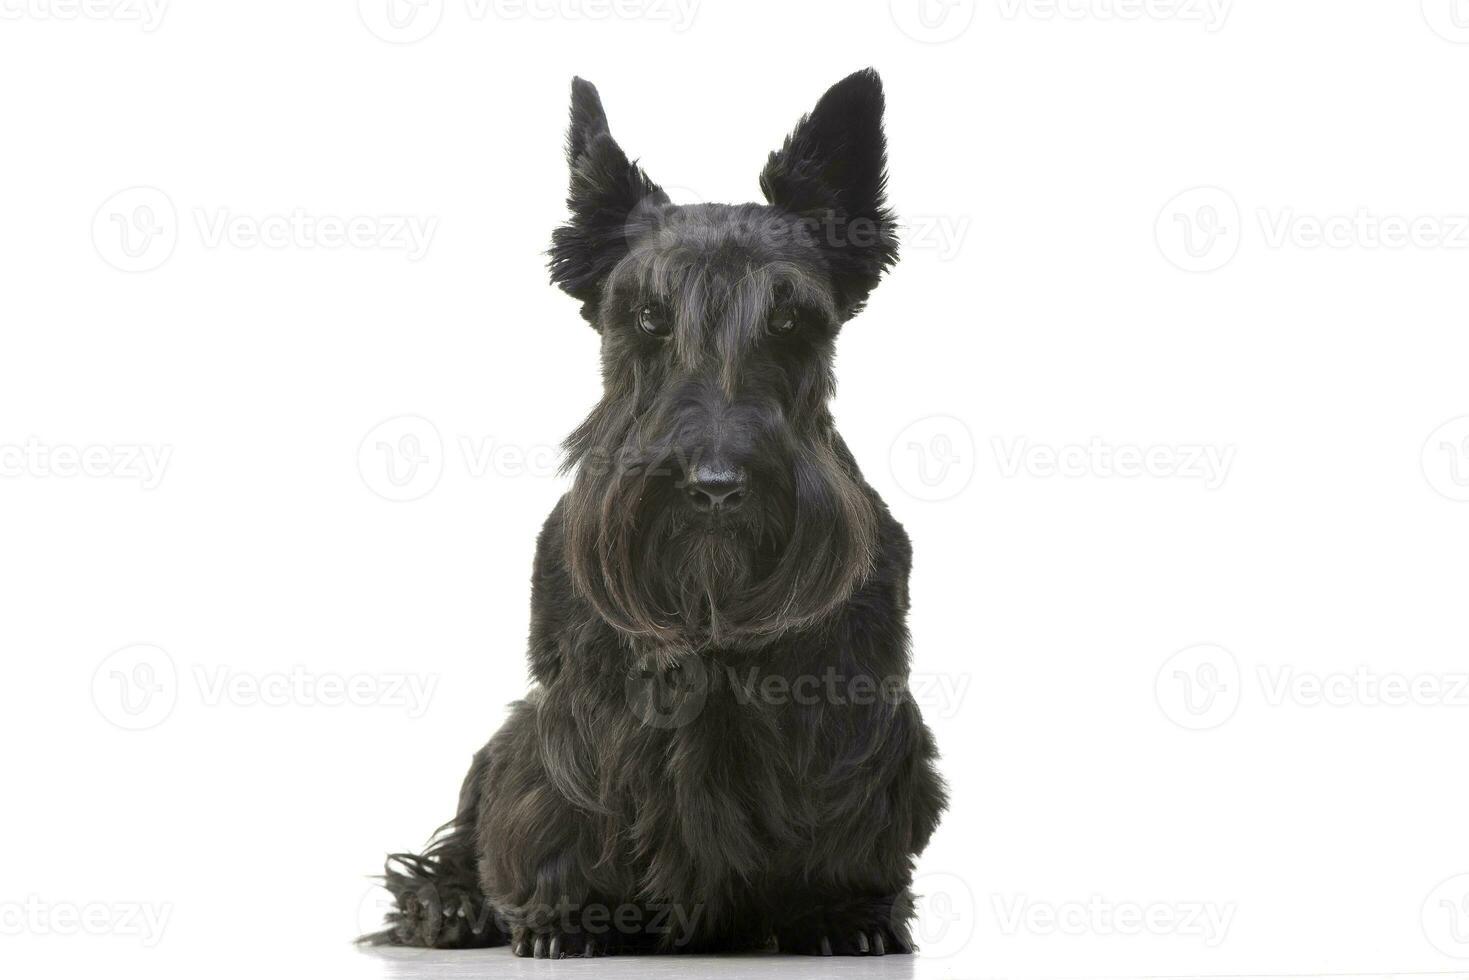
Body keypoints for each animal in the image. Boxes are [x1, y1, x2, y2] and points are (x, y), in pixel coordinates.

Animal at [361, 69, 946, 957]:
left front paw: (846, 913)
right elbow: (562, 803)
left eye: (788, 320)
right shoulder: (575, 707)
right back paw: (450, 904)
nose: (714, 485)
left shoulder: (854, 701)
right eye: (646, 317)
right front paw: (568, 917)